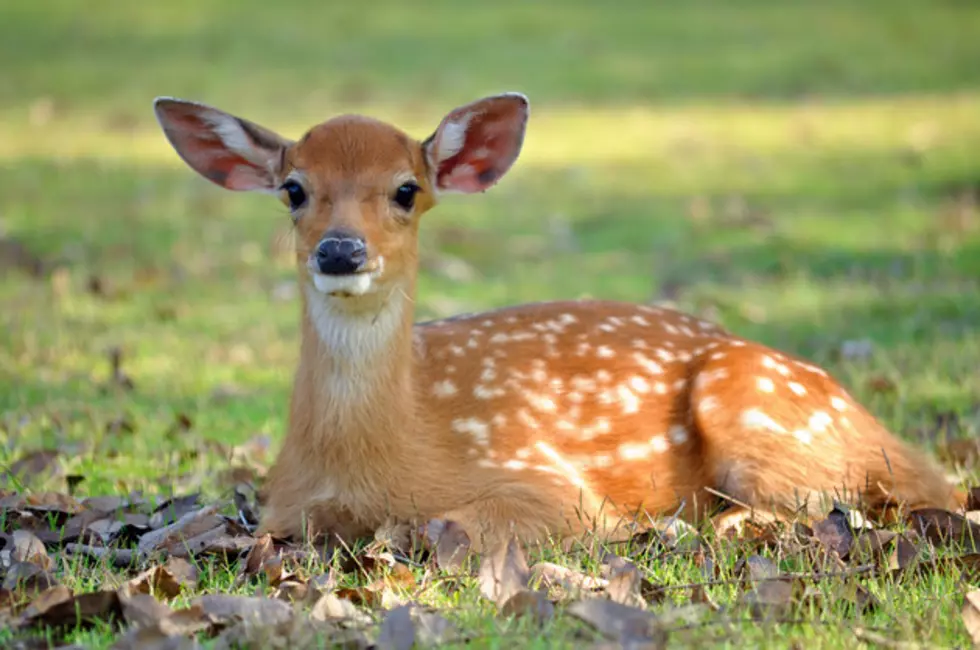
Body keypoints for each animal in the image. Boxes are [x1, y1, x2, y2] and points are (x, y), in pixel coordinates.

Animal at [155, 91, 964, 548]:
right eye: (294, 189)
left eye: (406, 190)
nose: (341, 250)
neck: (381, 451)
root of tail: (901, 444)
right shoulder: (282, 509)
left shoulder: (542, 477)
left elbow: (450, 526)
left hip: (759, 409)